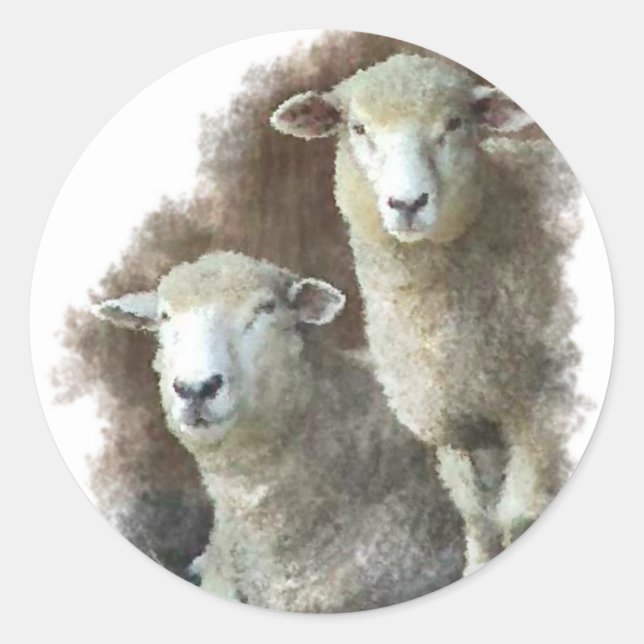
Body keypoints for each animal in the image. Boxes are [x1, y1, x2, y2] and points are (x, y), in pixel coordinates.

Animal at [270, 53, 581, 571]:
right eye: (358, 128)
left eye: (454, 123)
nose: (407, 203)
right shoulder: (453, 425)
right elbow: (478, 517)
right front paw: (474, 568)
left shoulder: (538, 410)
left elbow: (516, 516)